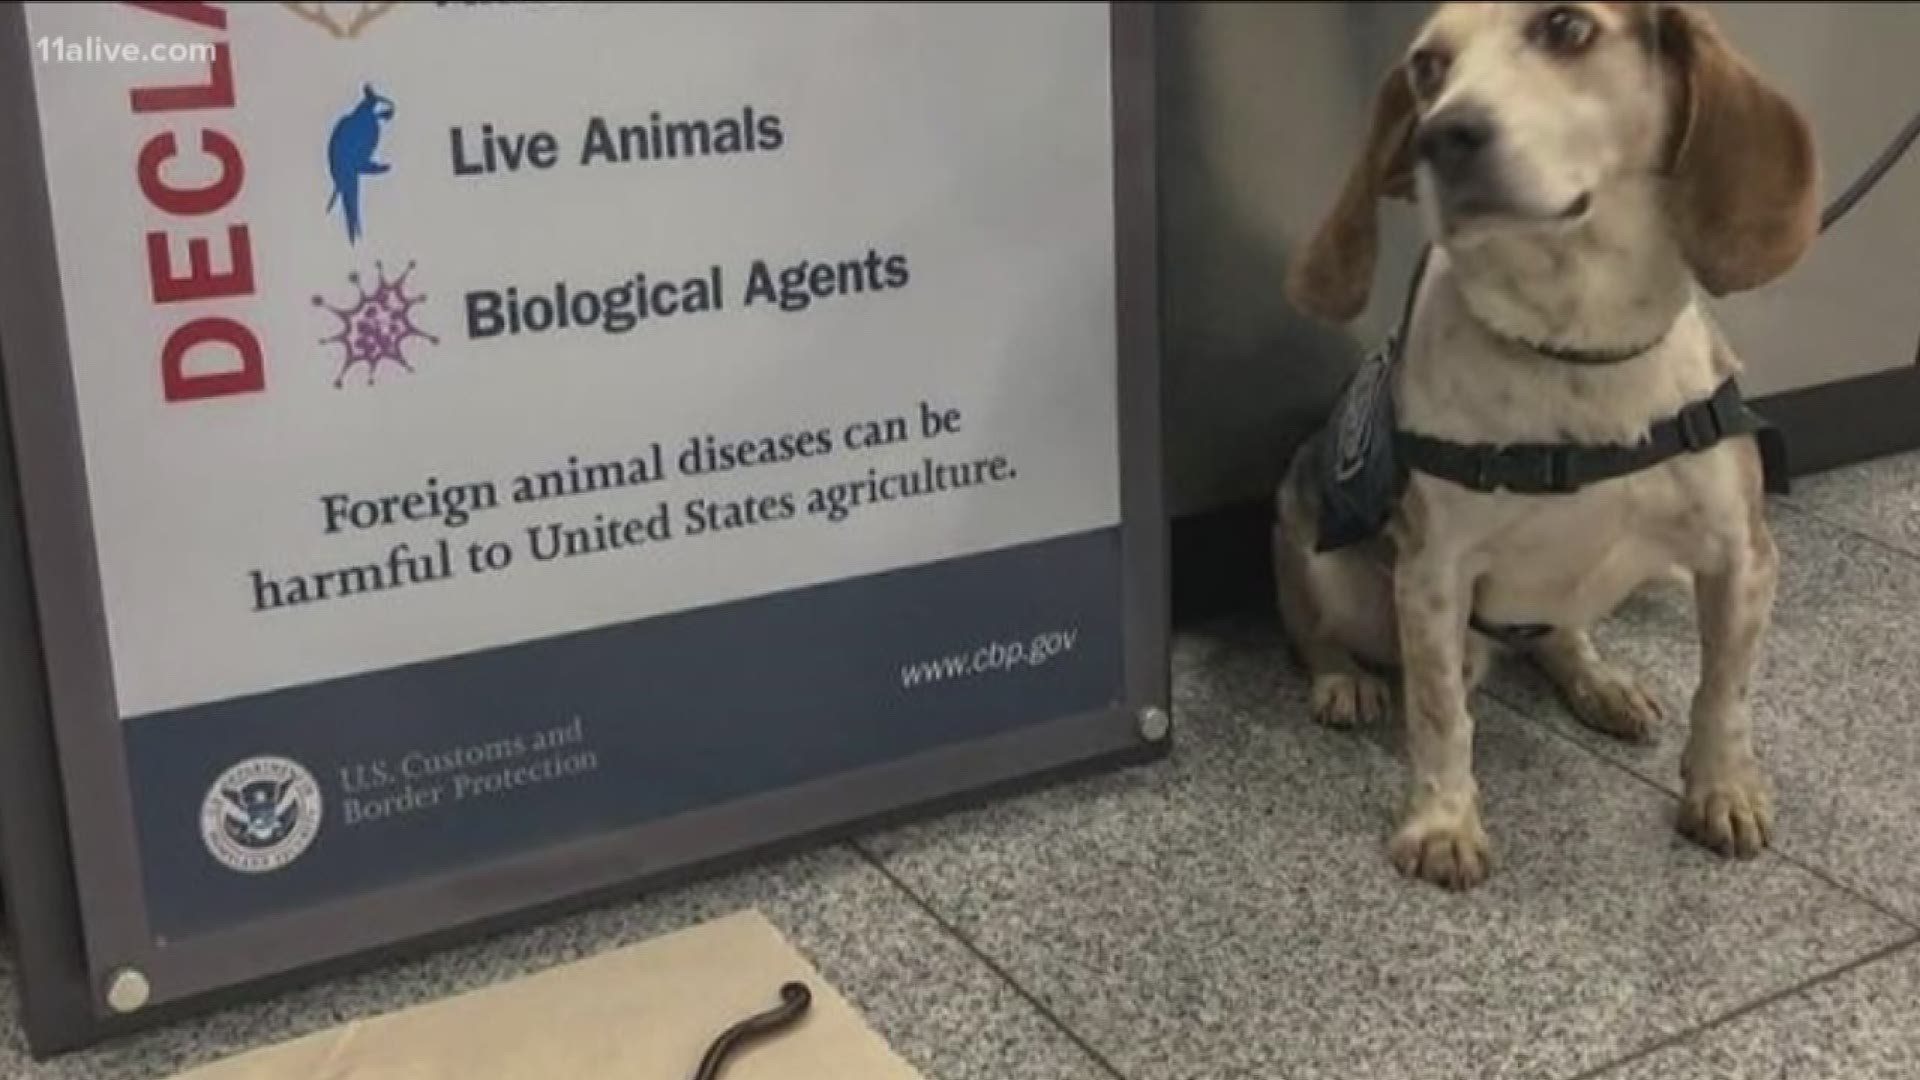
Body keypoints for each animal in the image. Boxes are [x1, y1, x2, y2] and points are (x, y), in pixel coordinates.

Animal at [1274, 4, 1812, 887]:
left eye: (1565, 26)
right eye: (1426, 66)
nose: (1442, 135)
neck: (1573, 347)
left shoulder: (1743, 556)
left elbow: (1724, 694)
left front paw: (1724, 789)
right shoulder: (1432, 575)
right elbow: (1439, 715)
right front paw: (1443, 823)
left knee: (1560, 635)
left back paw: (1601, 683)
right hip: (1316, 556)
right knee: (1320, 633)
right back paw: (1344, 682)